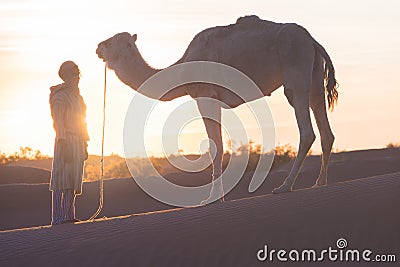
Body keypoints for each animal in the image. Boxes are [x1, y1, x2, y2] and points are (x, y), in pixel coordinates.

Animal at [96, 15, 338, 203]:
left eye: (112, 42)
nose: (98, 47)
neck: (181, 69)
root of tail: (312, 41)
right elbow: (218, 145)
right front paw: (217, 195)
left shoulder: (205, 96)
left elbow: (215, 147)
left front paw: (212, 197)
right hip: (315, 76)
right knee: (324, 123)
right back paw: (320, 182)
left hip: (295, 69)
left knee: (306, 129)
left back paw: (285, 186)